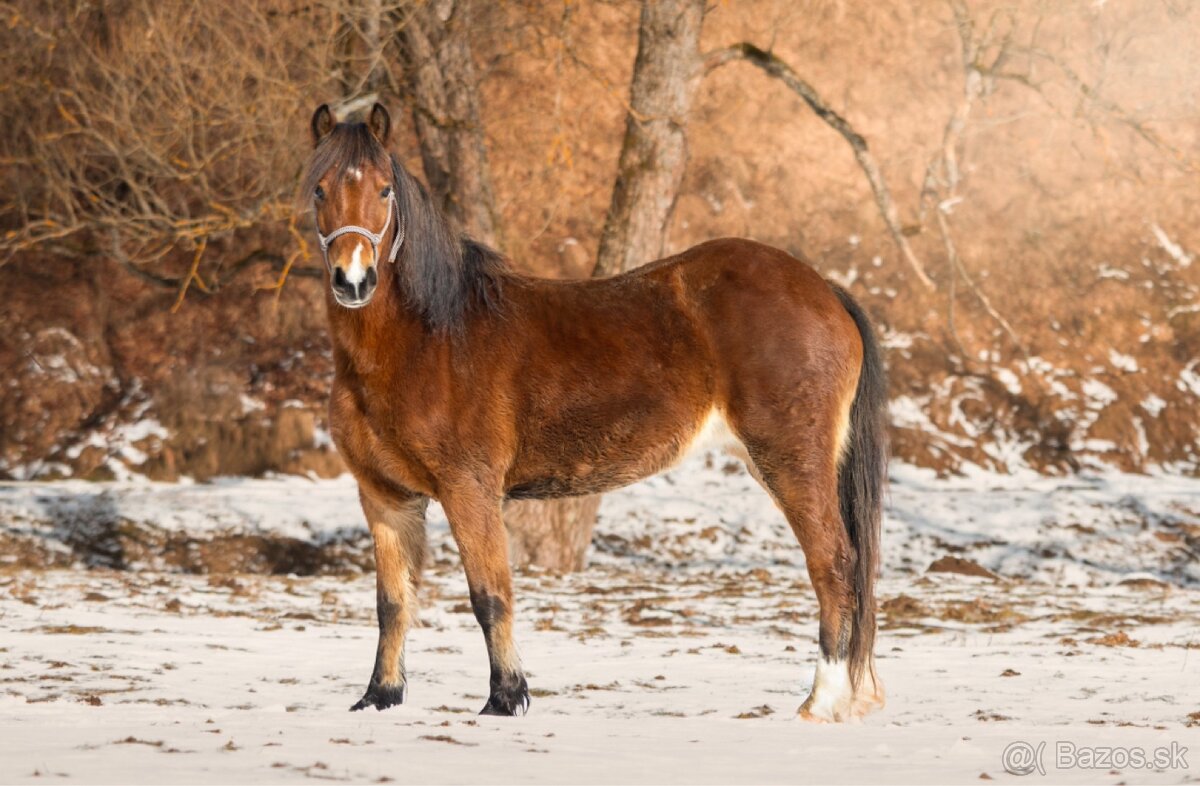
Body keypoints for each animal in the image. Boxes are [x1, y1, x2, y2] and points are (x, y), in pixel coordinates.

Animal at [302, 102, 888, 722]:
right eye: (319, 189)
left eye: (385, 190)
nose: (353, 280)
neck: (428, 337)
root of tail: (825, 289)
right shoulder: (386, 497)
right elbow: (392, 603)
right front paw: (380, 697)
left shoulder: (469, 490)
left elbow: (489, 595)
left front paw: (505, 699)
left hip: (791, 462)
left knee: (834, 565)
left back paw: (821, 702)